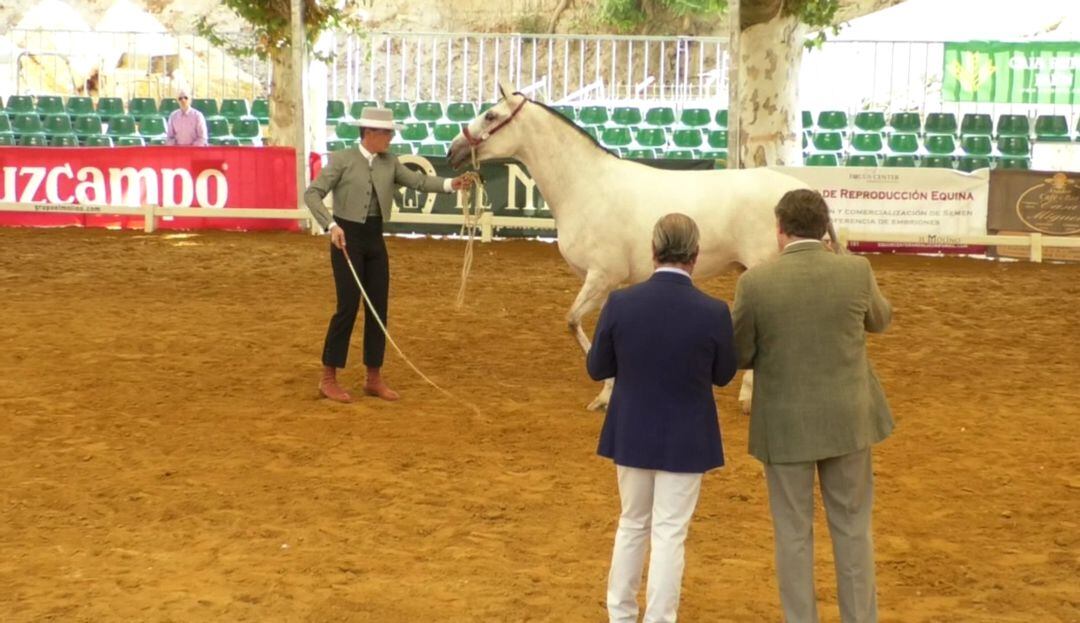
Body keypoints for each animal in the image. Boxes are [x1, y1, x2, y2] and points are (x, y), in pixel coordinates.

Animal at [447, 85, 825, 410]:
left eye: (491, 116)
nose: (453, 151)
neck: (587, 185)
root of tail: (799, 190)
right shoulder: (604, 282)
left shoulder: (603, 275)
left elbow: (572, 321)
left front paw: (605, 393)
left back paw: (749, 397)